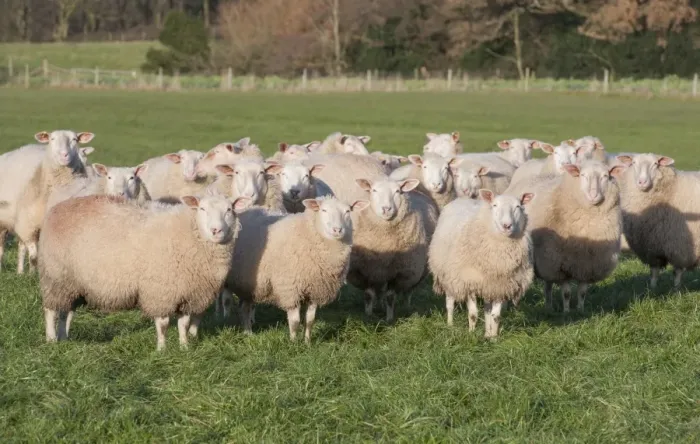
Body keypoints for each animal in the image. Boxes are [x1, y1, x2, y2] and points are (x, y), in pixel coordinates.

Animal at [38, 192, 251, 350]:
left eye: (229, 210)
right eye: (202, 209)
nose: (216, 230)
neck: (191, 233)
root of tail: (56, 208)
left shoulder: (188, 293)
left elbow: (184, 324)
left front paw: (184, 347)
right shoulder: (161, 291)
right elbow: (163, 324)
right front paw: (162, 349)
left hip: (72, 283)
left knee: (66, 312)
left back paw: (64, 338)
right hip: (55, 276)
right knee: (51, 311)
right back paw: (51, 340)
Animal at [225, 196, 369, 343]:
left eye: (348, 211)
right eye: (323, 210)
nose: (337, 230)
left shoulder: (314, 291)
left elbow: (310, 320)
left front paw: (307, 342)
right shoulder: (291, 290)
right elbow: (295, 322)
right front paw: (293, 343)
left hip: (247, 283)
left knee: (244, 307)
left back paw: (248, 333)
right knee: (244, 308)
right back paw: (248, 332)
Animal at [429, 190, 535, 338]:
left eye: (518, 206)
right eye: (495, 205)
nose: (506, 226)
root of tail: (463, 199)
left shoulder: (500, 285)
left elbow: (495, 315)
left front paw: (493, 337)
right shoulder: (469, 281)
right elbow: (473, 314)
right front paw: (471, 334)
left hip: (486, 284)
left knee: (487, 309)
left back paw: (487, 333)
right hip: (448, 274)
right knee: (450, 302)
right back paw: (450, 325)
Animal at [505, 160, 625, 312]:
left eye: (605, 176)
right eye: (582, 175)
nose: (593, 195)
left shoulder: (587, 265)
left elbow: (582, 292)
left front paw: (580, 310)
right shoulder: (560, 264)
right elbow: (567, 293)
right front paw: (567, 311)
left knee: (548, 284)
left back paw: (549, 306)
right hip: (546, 259)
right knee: (547, 285)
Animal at [615, 153, 700, 289]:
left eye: (655, 164)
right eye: (633, 163)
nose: (642, 182)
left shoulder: (680, 243)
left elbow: (677, 270)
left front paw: (676, 288)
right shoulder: (651, 245)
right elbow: (654, 270)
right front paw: (652, 287)